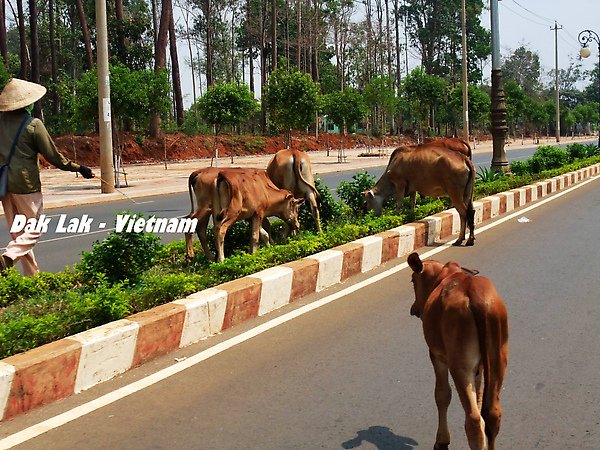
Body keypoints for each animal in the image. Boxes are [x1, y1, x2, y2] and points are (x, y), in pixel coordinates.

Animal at [406, 253, 508, 450]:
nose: (414, 309)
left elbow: (442, 395)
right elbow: (479, 398)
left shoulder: (436, 355)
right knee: (492, 414)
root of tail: (475, 294)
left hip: (460, 366)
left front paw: (442, 441)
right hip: (498, 359)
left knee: (474, 420)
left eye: (413, 281)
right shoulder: (479, 367)